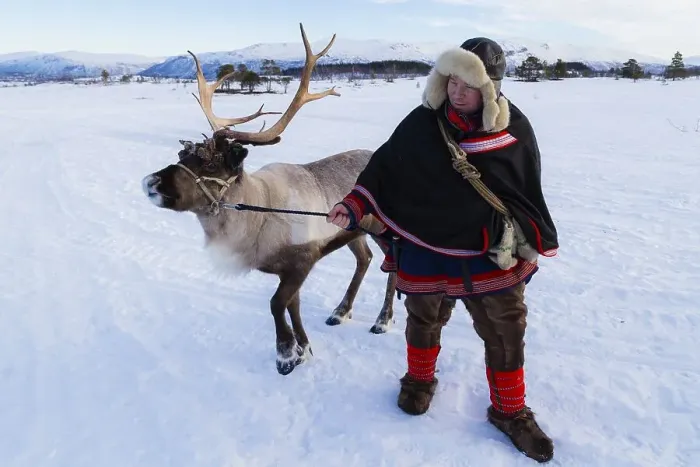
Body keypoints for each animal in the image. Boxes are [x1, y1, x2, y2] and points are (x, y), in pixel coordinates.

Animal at [141, 24, 397, 376]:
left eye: (210, 163)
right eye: (183, 154)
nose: (151, 182)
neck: (256, 215)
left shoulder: (302, 259)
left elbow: (277, 304)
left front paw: (286, 354)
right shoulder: (288, 268)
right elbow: (292, 304)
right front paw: (304, 347)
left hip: (385, 228)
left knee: (394, 266)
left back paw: (383, 320)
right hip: (354, 232)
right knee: (365, 258)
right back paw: (340, 311)